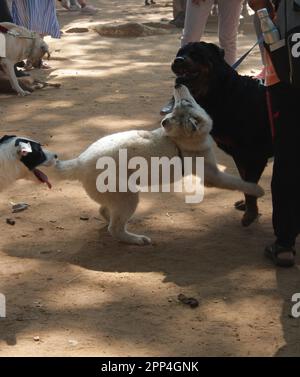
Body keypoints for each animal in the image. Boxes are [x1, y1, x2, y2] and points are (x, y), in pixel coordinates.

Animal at [54, 84, 262, 245]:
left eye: (186, 103)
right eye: (180, 103)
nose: (178, 84)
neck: (179, 140)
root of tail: (80, 162)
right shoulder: (212, 177)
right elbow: (239, 183)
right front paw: (258, 190)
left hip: (116, 197)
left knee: (104, 211)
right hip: (128, 197)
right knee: (114, 228)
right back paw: (136, 239)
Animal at [171, 41, 274, 225]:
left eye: (196, 54)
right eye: (180, 52)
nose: (178, 60)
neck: (225, 93)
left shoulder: (255, 154)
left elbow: (250, 181)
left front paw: (250, 214)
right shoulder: (240, 155)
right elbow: (246, 181)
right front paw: (248, 206)